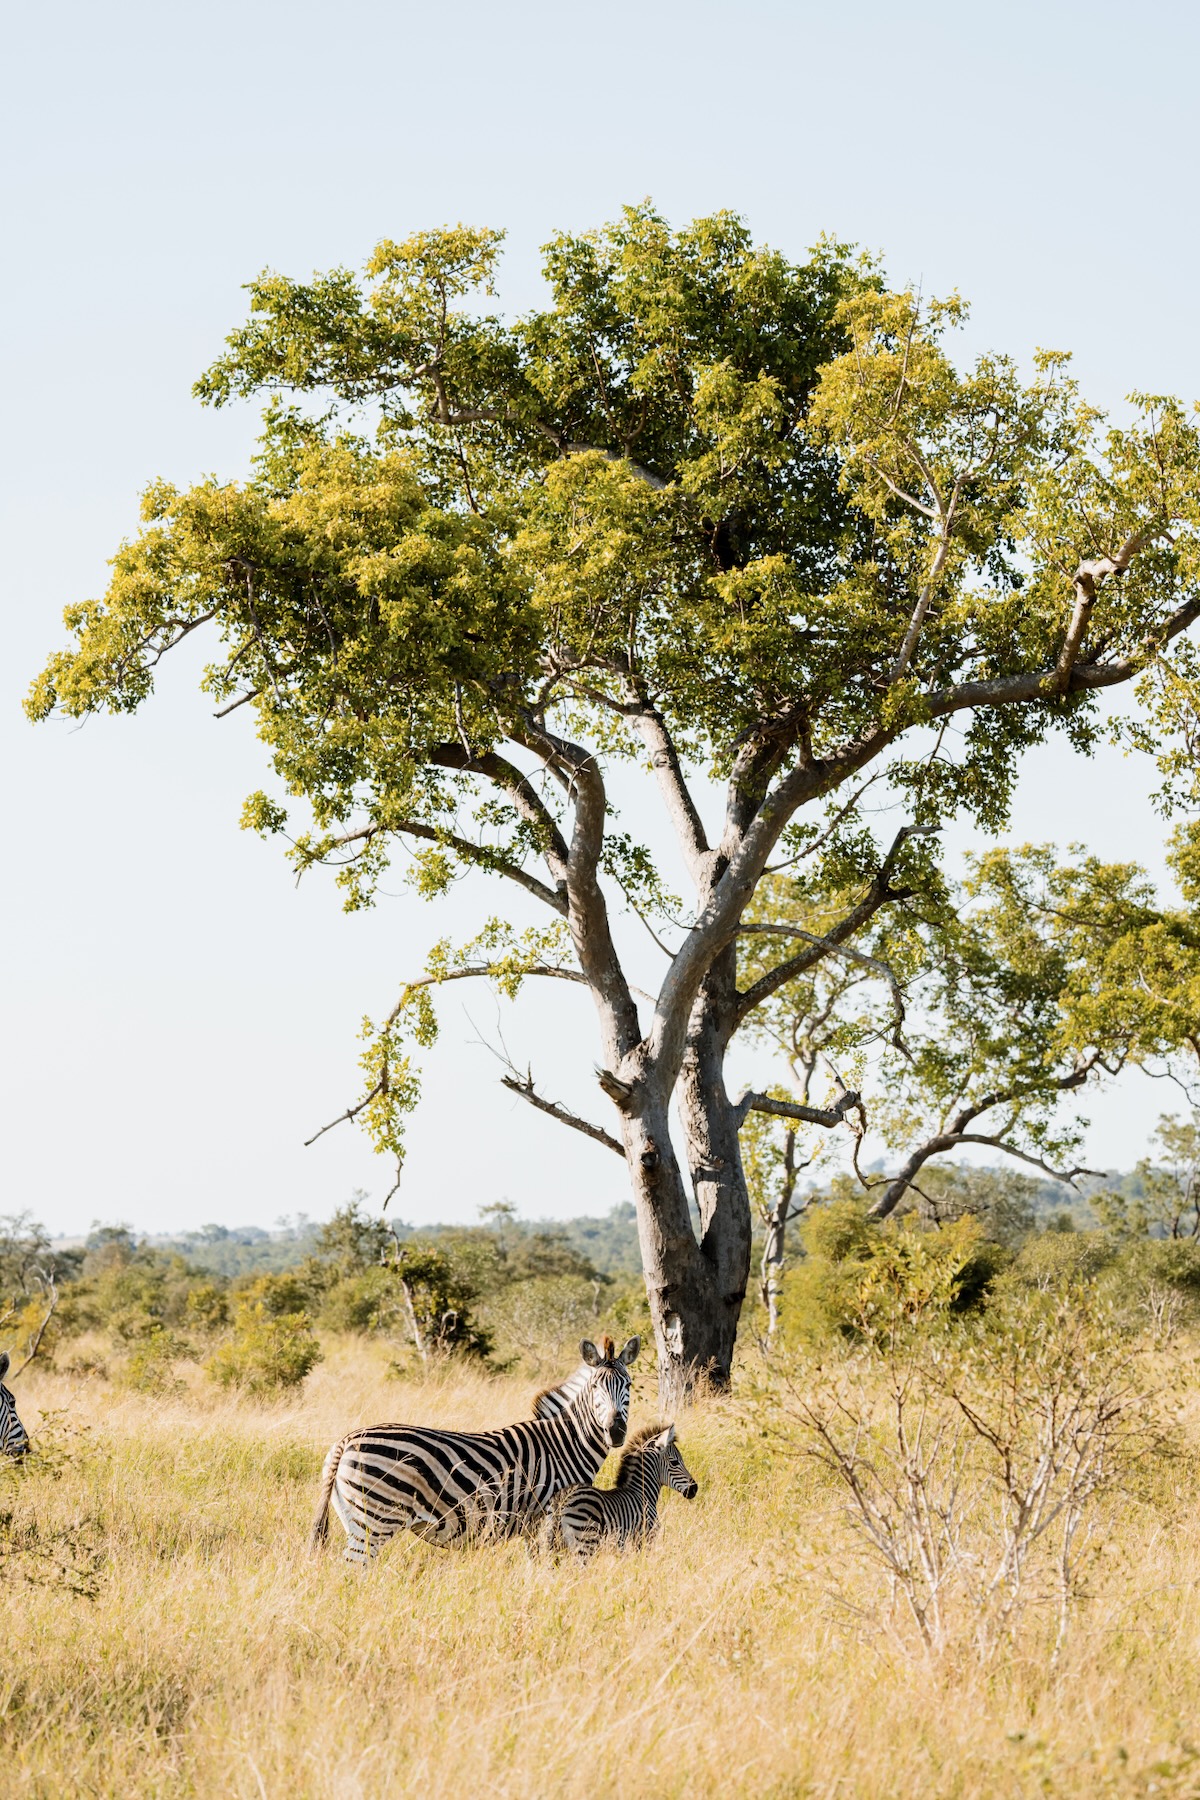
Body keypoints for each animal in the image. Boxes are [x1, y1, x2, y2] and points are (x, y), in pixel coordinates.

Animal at [314, 1332, 644, 1569]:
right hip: (375, 1521)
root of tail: (346, 1441)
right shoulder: (550, 1516)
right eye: (595, 1388)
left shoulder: (533, 1524)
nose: (616, 1431)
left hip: (354, 1520)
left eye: (628, 1385)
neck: (565, 1445)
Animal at [543, 1418, 698, 1562]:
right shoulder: (645, 1538)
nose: (694, 1488)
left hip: (557, 1545)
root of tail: (562, 1501)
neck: (642, 1493)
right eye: (675, 1462)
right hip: (585, 1543)